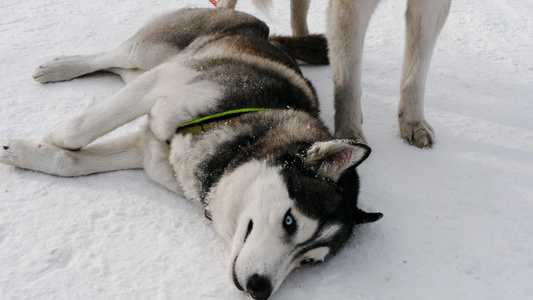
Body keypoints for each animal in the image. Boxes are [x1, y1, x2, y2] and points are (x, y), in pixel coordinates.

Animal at [1, 7, 382, 300]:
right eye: (290, 221)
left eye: (309, 261)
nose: (261, 289)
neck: (240, 144)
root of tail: (267, 33)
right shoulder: (165, 83)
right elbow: (77, 131)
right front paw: (52, 137)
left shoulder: (148, 150)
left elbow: (70, 163)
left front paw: (23, 152)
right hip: (151, 53)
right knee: (113, 56)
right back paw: (60, 68)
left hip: (145, 70)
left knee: (119, 69)